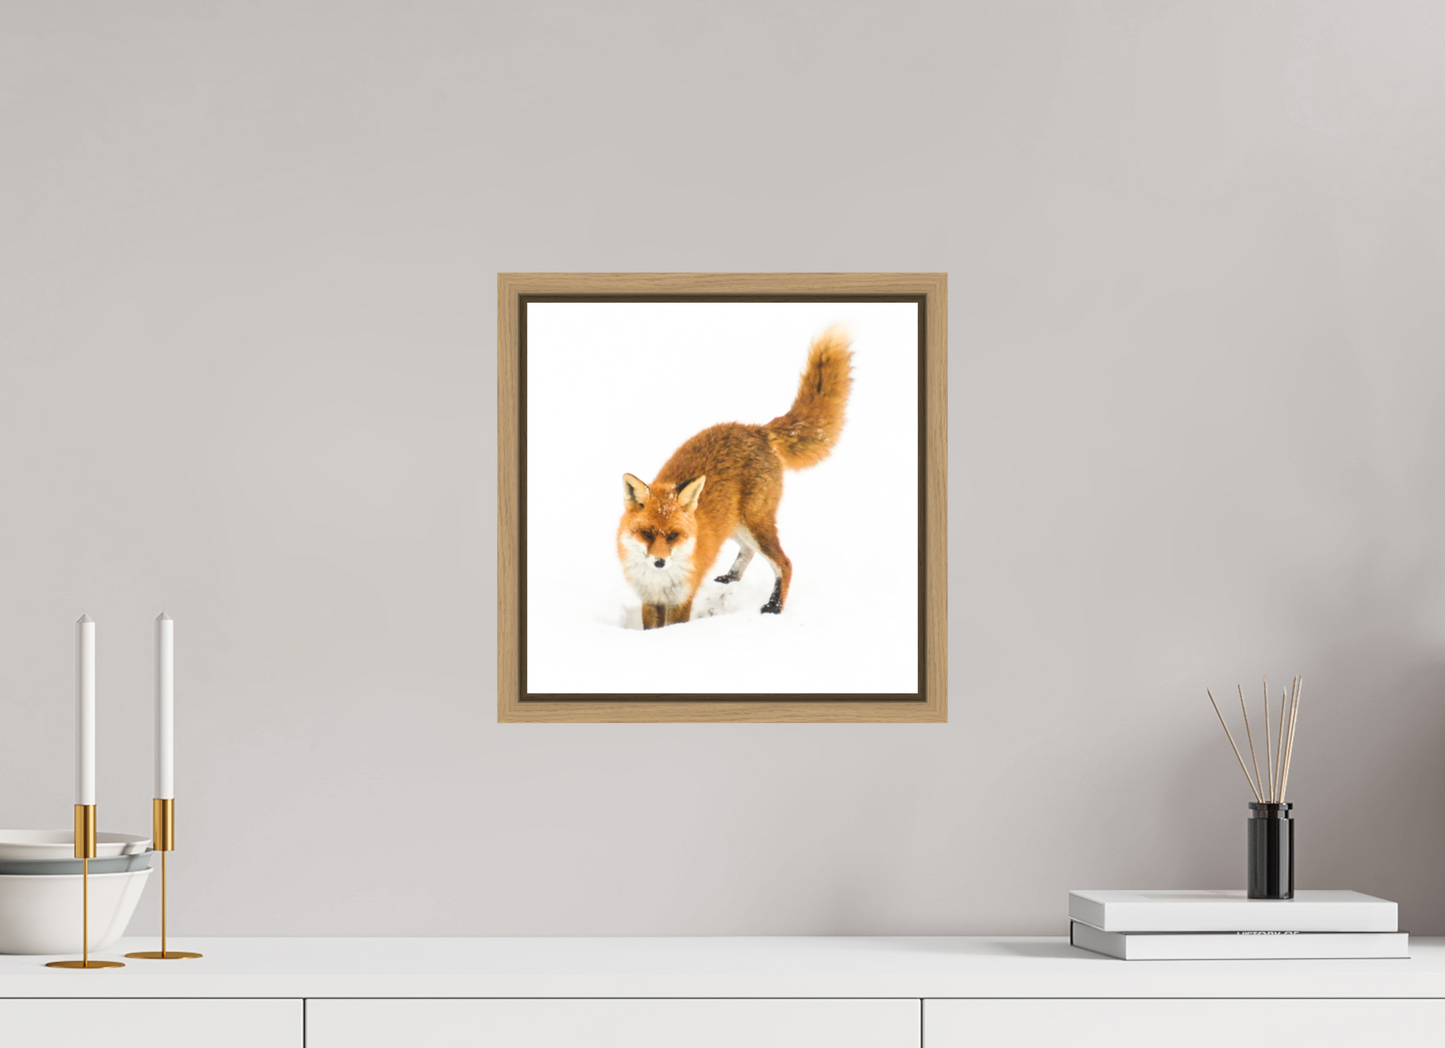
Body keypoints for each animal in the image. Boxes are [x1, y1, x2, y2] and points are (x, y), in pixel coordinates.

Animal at [617, 325, 854, 629]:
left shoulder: (682, 598)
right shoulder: (650, 599)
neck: (660, 579)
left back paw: (774, 606)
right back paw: (730, 578)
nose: (659, 562)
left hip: (755, 523)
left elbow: (675, 625)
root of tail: (758, 430)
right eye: (646, 533)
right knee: (748, 551)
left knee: (785, 563)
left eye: (673, 536)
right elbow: (651, 626)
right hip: (734, 525)